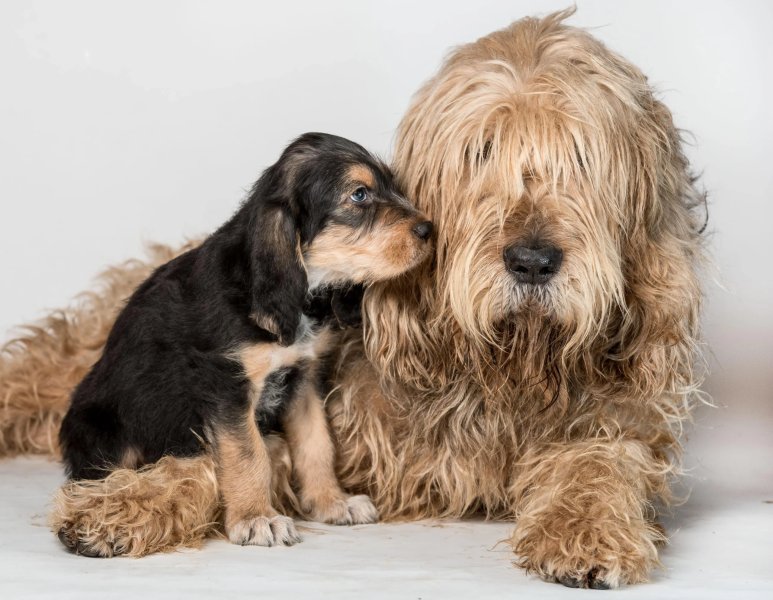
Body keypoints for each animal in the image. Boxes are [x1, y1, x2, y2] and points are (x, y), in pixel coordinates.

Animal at [58, 134, 434, 552]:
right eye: (360, 194)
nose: (429, 230)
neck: (298, 297)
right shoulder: (228, 386)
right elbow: (248, 455)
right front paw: (256, 519)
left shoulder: (303, 379)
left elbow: (316, 443)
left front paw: (332, 503)